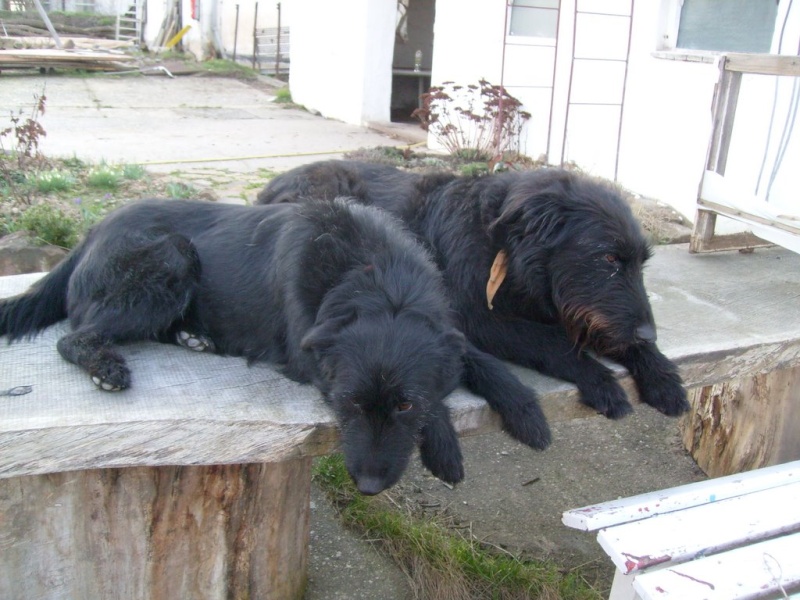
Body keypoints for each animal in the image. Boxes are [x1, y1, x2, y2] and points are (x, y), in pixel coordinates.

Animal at [1, 197, 552, 492]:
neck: (377, 277)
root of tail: (90, 235)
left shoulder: (443, 331)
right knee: (74, 336)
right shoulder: (306, 357)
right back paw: (106, 366)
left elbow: (476, 359)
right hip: (173, 255)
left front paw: (527, 412)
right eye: (348, 404)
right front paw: (444, 445)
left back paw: (192, 336)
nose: (369, 488)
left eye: (403, 406)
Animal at [260, 162, 692, 420]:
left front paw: (661, 374)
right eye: (608, 258)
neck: (504, 248)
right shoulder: (479, 319)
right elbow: (552, 342)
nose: (648, 333)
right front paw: (600, 380)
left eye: (640, 263)